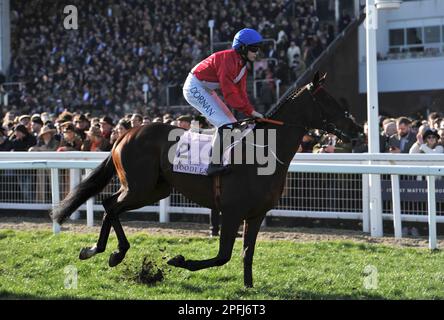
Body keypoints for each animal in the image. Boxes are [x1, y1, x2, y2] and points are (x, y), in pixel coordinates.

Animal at [51, 72, 360, 288]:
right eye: (328, 101)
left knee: (111, 205)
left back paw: (103, 250)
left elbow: (247, 253)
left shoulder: (257, 214)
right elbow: (224, 255)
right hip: (139, 187)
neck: (264, 152)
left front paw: (249, 287)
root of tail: (125, 133)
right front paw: (178, 259)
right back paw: (109, 251)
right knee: (110, 205)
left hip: (154, 191)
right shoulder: (233, 211)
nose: (356, 128)